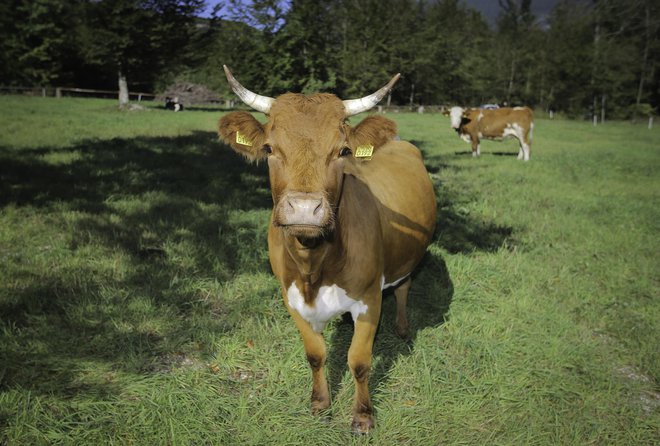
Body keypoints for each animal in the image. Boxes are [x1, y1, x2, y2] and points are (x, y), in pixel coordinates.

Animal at [218, 66, 438, 432]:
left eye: (343, 151)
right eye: (269, 149)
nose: (305, 209)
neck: (315, 266)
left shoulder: (370, 299)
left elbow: (359, 361)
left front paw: (363, 415)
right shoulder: (291, 298)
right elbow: (315, 354)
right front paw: (320, 402)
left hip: (406, 262)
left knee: (404, 286)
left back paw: (403, 328)